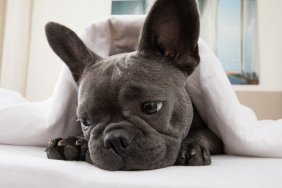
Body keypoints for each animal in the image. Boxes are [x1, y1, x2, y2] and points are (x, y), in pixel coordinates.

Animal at [45, 0, 224, 170]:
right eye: (85, 122)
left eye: (151, 107)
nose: (115, 139)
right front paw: (72, 141)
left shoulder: (217, 137)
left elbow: (202, 134)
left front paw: (191, 146)